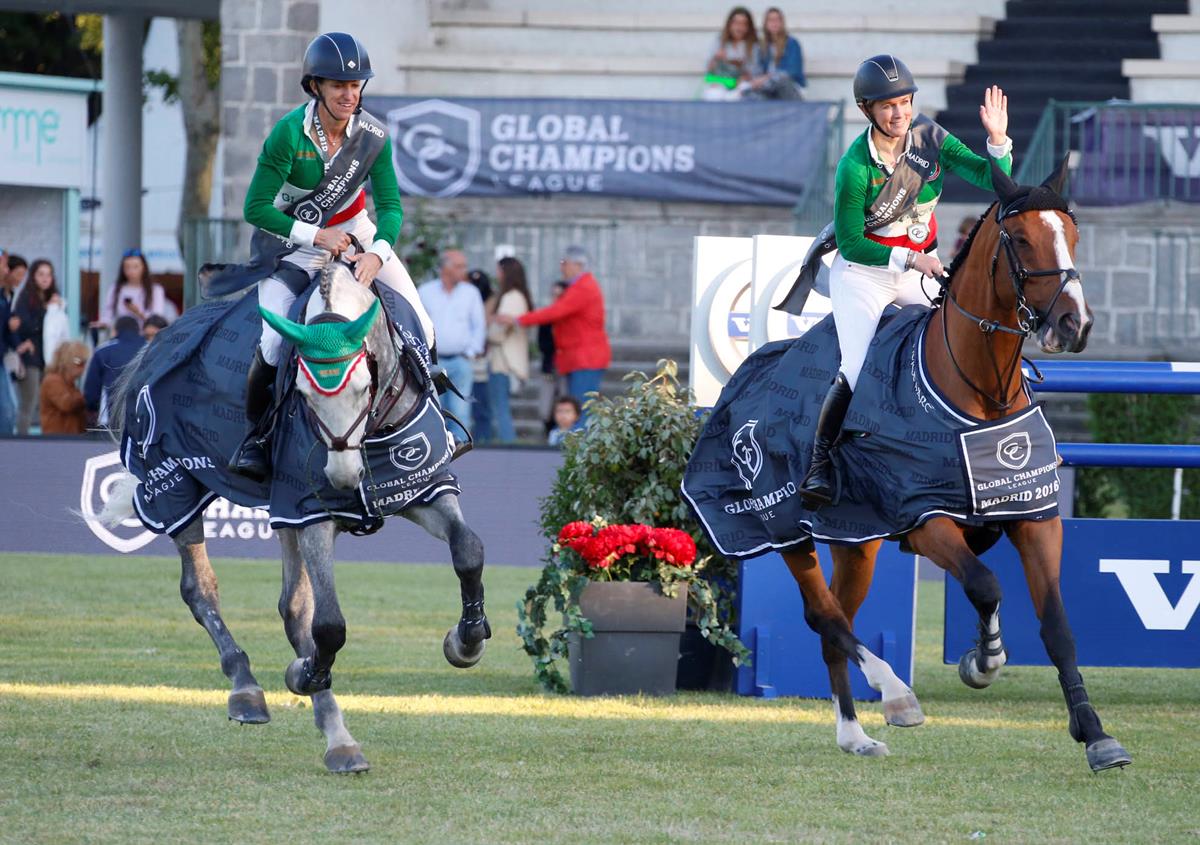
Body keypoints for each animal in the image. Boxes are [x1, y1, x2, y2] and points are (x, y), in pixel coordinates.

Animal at [100, 262, 489, 772]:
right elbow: (330, 625)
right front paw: (310, 676)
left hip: (279, 515)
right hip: (175, 485)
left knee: (292, 607)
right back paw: (262, 696)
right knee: (203, 591)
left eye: (364, 385)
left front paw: (466, 641)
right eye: (301, 392)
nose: (341, 477)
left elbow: (468, 550)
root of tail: (154, 345)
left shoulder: (422, 487)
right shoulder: (309, 511)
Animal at [777, 158, 1132, 772]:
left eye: (1073, 234)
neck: (982, 395)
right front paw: (983, 661)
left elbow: (1057, 625)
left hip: (856, 542)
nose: (1075, 325)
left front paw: (1095, 733)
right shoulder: (924, 522)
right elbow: (986, 585)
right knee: (824, 615)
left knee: (836, 618)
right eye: (1020, 239)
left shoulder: (1034, 517)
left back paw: (855, 734)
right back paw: (895, 696)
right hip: (787, 534)